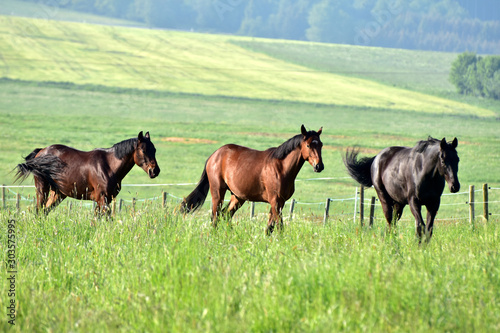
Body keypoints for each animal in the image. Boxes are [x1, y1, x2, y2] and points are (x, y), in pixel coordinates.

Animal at [14, 131, 160, 214]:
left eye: (154, 149)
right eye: (143, 150)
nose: (155, 171)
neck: (109, 166)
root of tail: (41, 152)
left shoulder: (105, 200)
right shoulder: (102, 199)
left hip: (58, 193)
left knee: (44, 212)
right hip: (42, 189)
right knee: (39, 211)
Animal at [181, 124, 324, 233]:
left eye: (321, 144)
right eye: (308, 145)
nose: (319, 166)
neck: (281, 168)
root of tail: (214, 155)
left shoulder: (280, 202)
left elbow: (270, 227)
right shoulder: (275, 201)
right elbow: (279, 226)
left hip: (237, 197)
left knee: (225, 215)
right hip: (218, 193)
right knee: (215, 217)